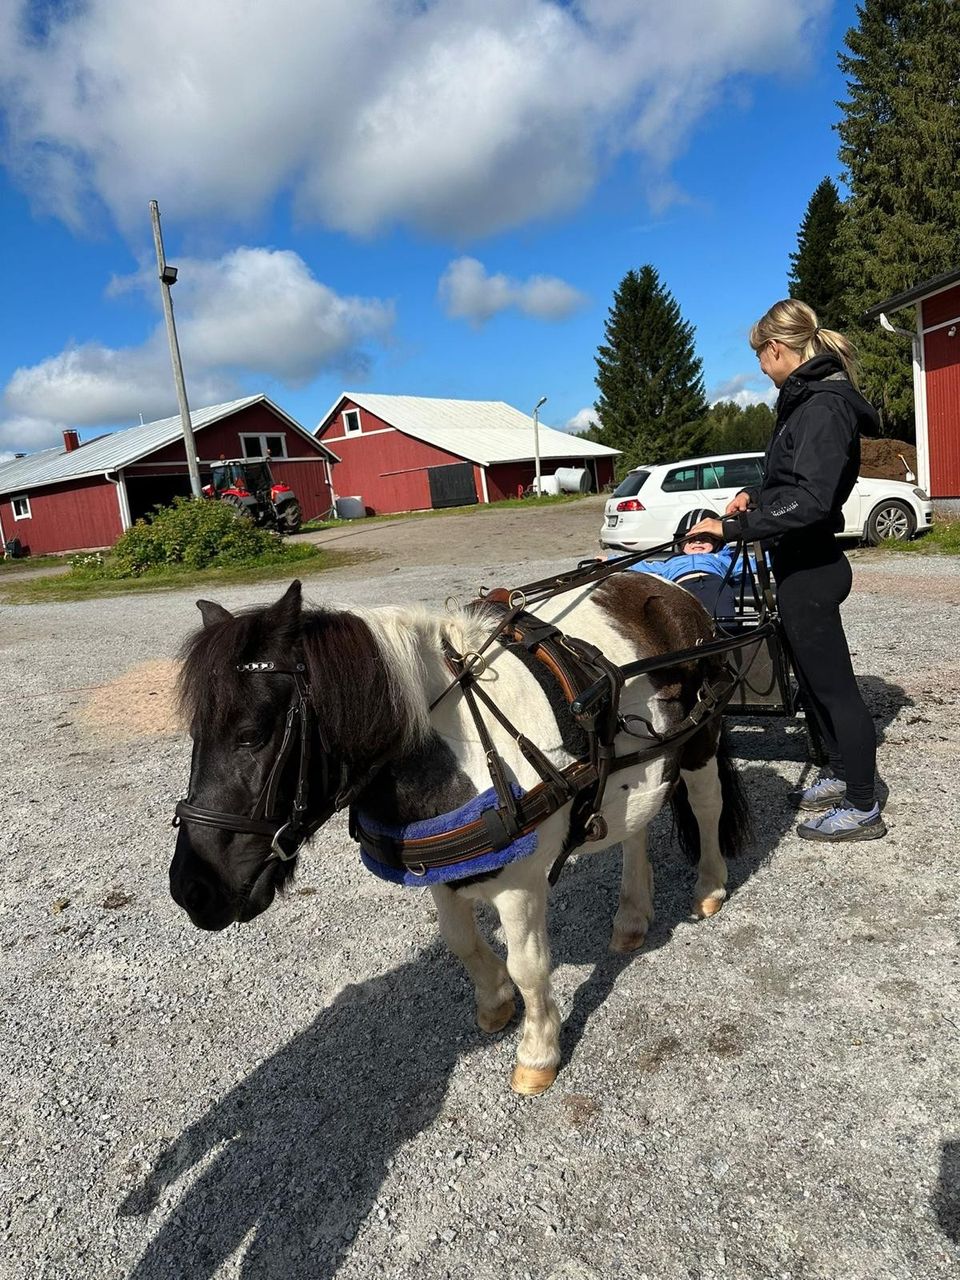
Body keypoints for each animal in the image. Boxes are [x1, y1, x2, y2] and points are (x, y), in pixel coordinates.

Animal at [172, 578, 752, 1090]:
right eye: (195, 733)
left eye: (251, 735)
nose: (190, 889)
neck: (460, 745)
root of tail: (670, 588)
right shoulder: (437, 870)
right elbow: (461, 941)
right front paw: (494, 1001)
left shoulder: (520, 884)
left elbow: (529, 966)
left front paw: (538, 1052)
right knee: (636, 826)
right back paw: (632, 915)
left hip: (700, 740)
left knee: (706, 805)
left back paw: (709, 887)